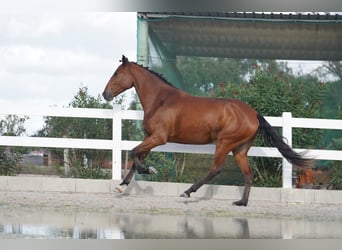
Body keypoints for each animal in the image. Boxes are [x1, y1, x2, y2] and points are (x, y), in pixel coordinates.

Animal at [102, 55, 312, 206]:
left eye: (117, 74)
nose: (105, 94)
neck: (160, 100)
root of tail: (254, 114)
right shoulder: (150, 137)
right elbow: (137, 156)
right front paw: (121, 186)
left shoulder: (159, 138)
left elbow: (133, 152)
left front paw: (149, 170)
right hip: (240, 149)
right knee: (248, 173)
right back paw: (241, 202)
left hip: (225, 143)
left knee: (216, 169)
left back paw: (187, 192)